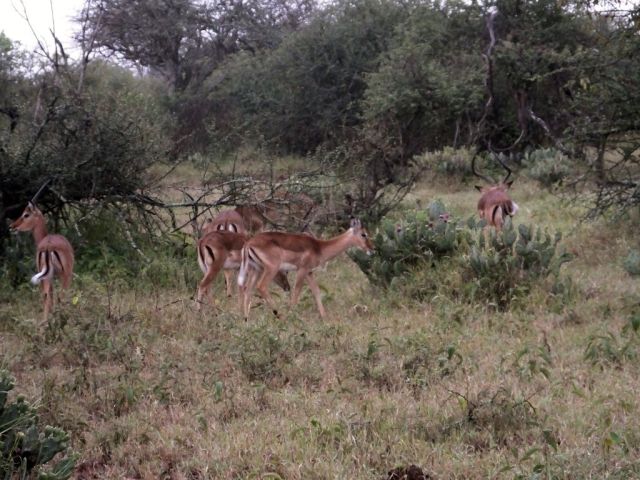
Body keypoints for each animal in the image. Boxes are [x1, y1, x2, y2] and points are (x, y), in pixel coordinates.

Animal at [237, 218, 374, 320]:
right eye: (364, 234)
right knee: (261, 286)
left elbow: (316, 291)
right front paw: (292, 315)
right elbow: (296, 292)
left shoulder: (309, 272)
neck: (319, 247)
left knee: (247, 290)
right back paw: (279, 314)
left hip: (256, 270)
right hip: (271, 269)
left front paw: (324, 317)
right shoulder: (302, 270)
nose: (372, 250)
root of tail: (248, 244)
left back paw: (246, 319)